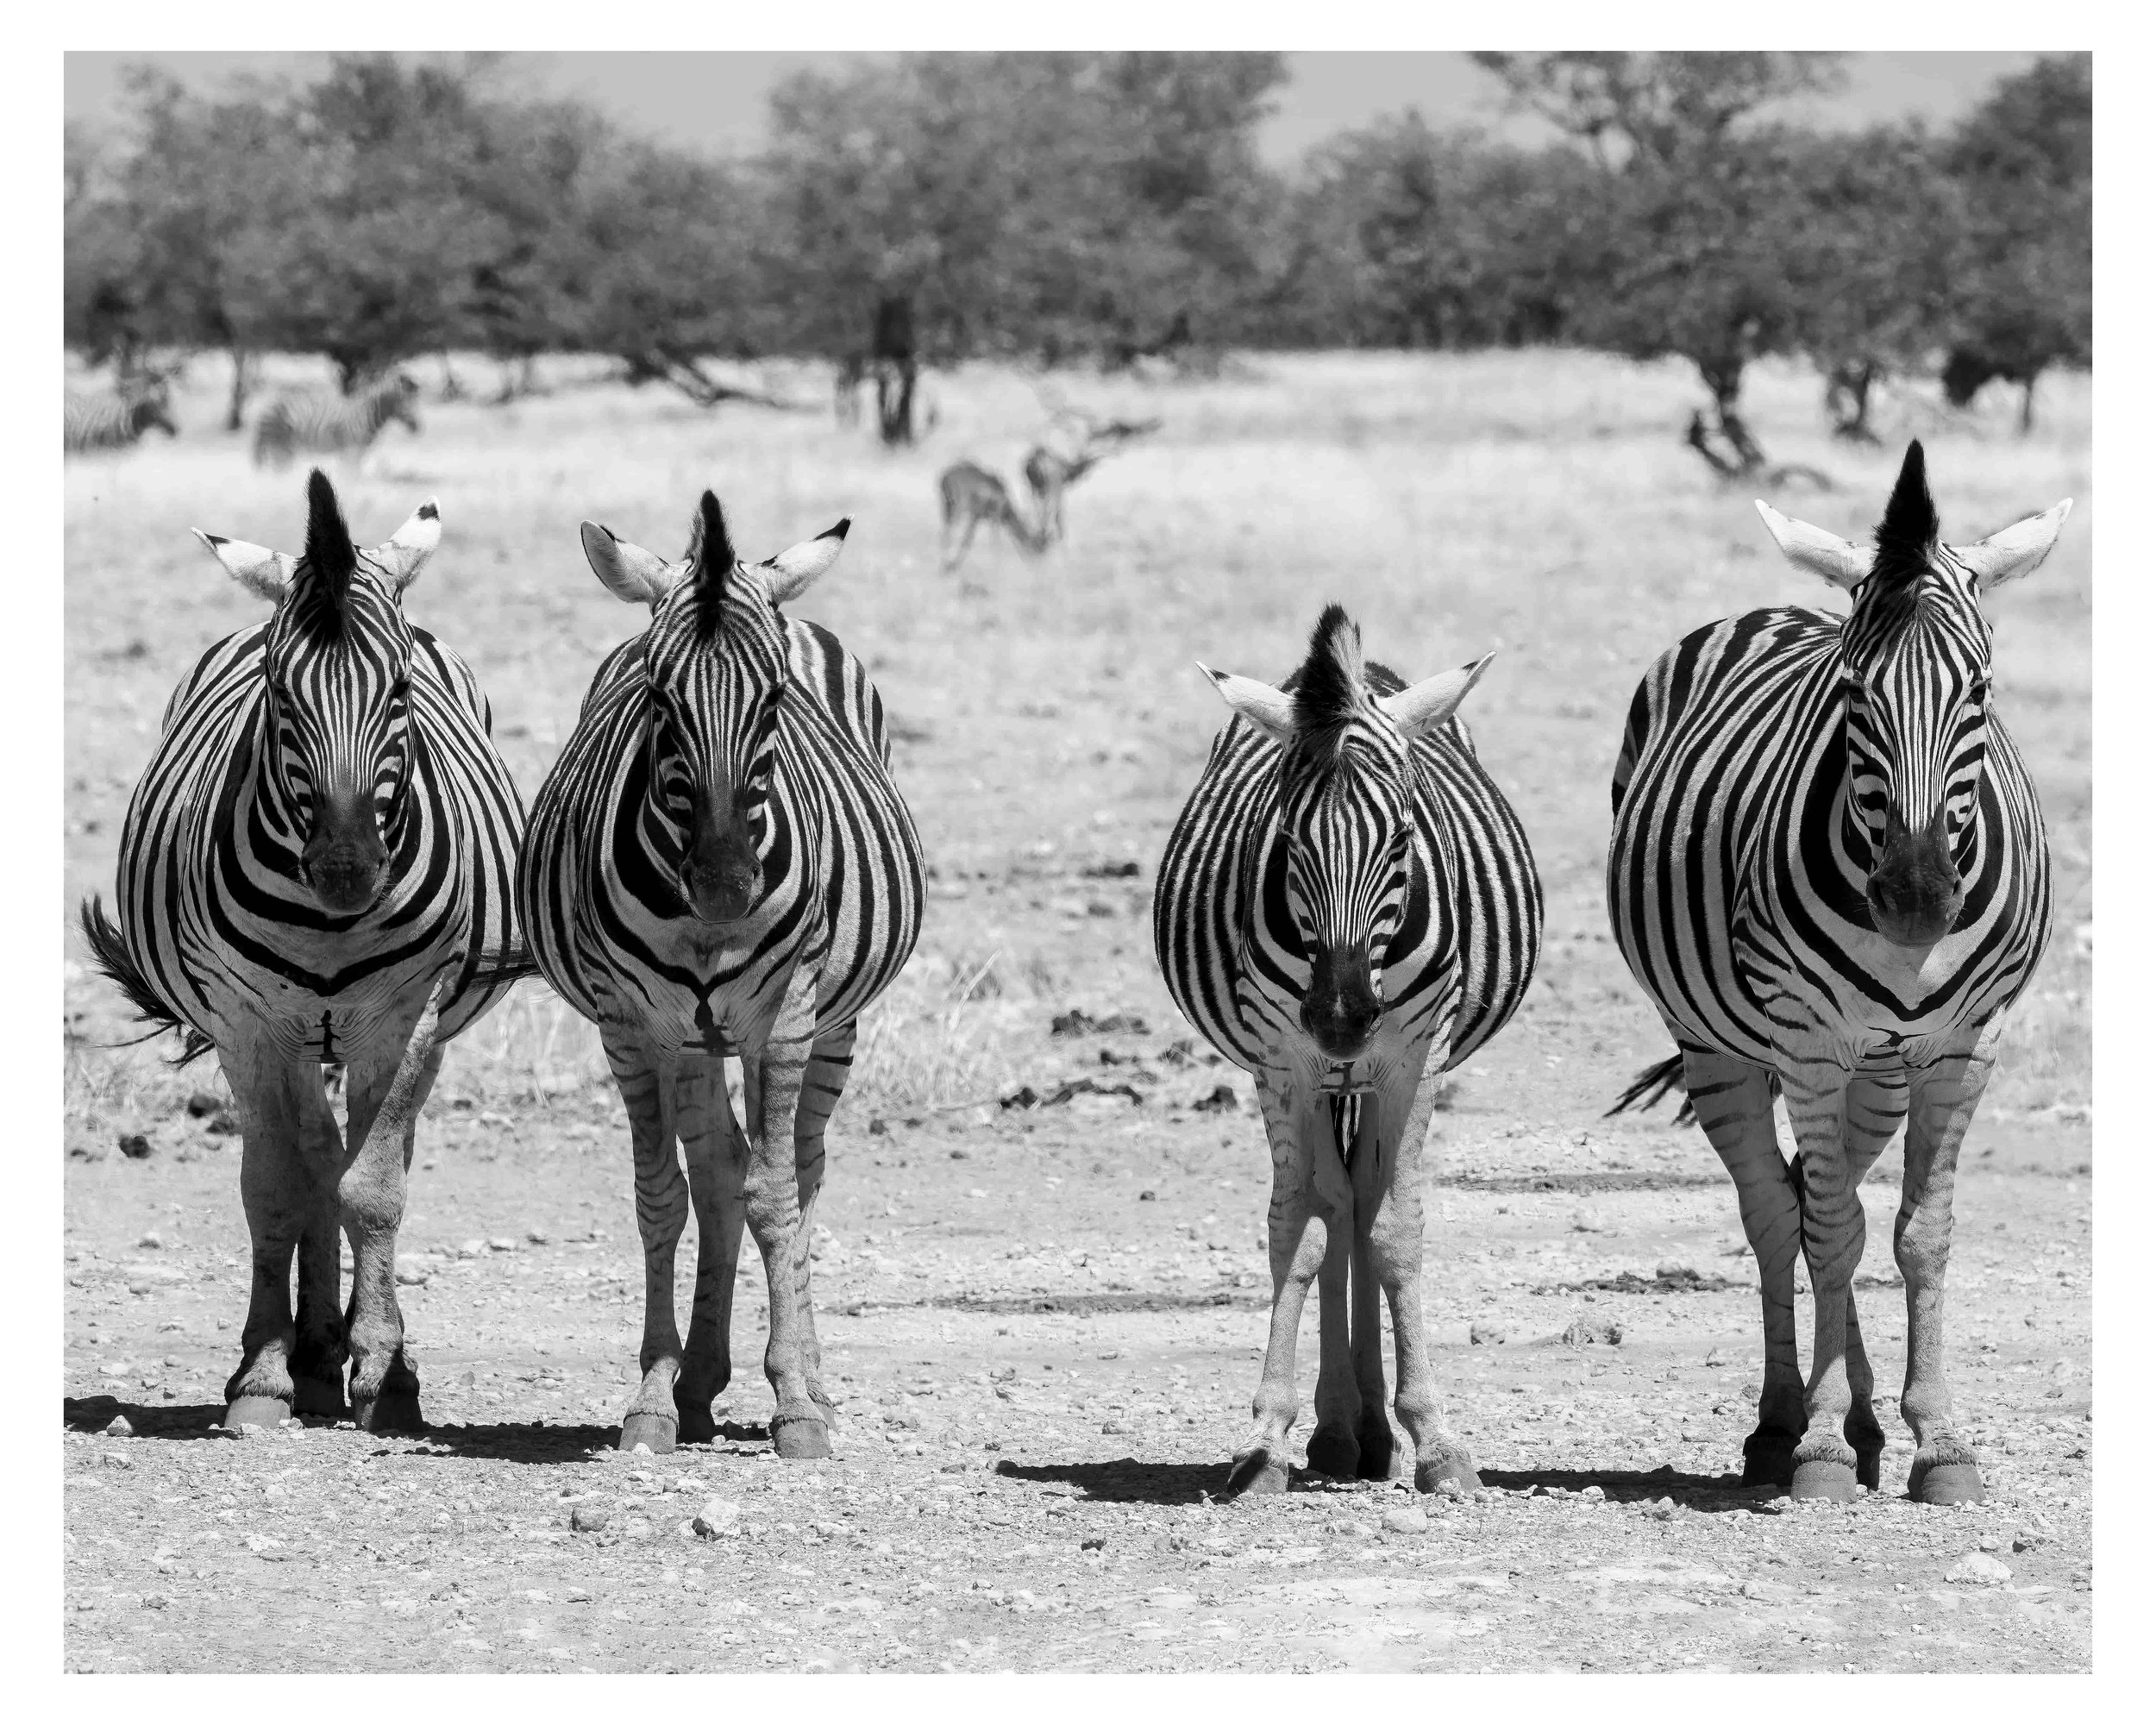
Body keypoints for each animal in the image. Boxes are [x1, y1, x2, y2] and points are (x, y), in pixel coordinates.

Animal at [78, 471, 526, 1434]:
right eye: (281, 696)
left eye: (399, 690)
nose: (347, 871)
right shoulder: (247, 1023)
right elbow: (277, 1188)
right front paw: (264, 1372)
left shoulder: (406, 1014)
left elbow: (373, 1189)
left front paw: (387, 1371)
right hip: (291, 1033)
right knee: (314, 1155)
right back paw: (312, 1351)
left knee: (357, 1156)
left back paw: (346, 1348)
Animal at [252, 372, 421, 471]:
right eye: (403, 403)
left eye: (417, 402)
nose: (418, 427)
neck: (367, 415)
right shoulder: (351, 452)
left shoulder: (354, 453)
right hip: (280, 445)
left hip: (283, 446)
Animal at [519, 489, 924, 1458]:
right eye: (658, 696)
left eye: (774, 696)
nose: (725, 886)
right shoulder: (630, 1026)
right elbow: (661, 1195)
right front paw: (652, 1397)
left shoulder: (788, 1014)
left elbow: (776, 1196)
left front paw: (797, 1407)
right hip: (694, 1039)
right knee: (715, 1171)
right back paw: (699, 1380)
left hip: (833, 1026)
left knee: (800, 1170)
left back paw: (810, 1377)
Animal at [1153, 605, 1543, 1497]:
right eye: (1288, 839)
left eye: (1401, 836)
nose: (1339, 1016)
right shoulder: (1282, 1061)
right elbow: (1299, 1230)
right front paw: (1267, 1437)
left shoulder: (1414, 1056)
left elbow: (1395, 1231)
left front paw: (1433, 1438)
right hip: (1323, 1078)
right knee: (1336, 1207)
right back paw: (1340, 1429)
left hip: (1369, 1073)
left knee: (1363, 1204)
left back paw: (1371, 1429)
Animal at [1606, 441, 2069, 1504]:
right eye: (1853, 696)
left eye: (1980, 692)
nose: (1915, 900)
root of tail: (1770, 608)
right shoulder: (1812, 1046)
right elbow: (1827, 1230)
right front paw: (1817, 1445)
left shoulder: (1960, 1049)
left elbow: (1915, 1233)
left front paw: (1939, 1440)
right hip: (1719, 1047)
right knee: (1781, 1212)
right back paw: (1787, 1425)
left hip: (1881, 1070)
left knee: (1826, 1199)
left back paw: (1860, 1421)